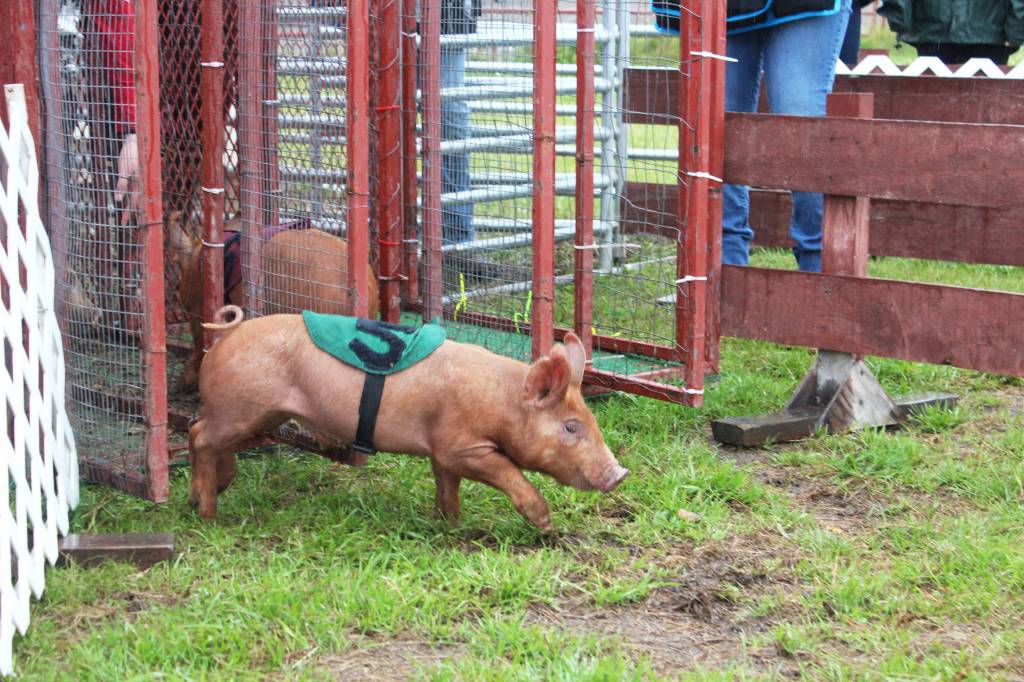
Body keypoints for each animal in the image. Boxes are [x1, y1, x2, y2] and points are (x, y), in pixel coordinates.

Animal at [188, 305, 629, 530]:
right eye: (570, 427)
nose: (619, 473)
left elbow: (447, 486)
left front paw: (449, 526)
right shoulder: (461, 446)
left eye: (591, 422)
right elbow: (508, 472)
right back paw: (209, 515)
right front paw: (545, 523)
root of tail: (227, 336)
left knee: (202, 434)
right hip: (242, 407)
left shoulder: (441, 451)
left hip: (250, 413)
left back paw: (207, 496)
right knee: (200, 435)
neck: (502, 401)